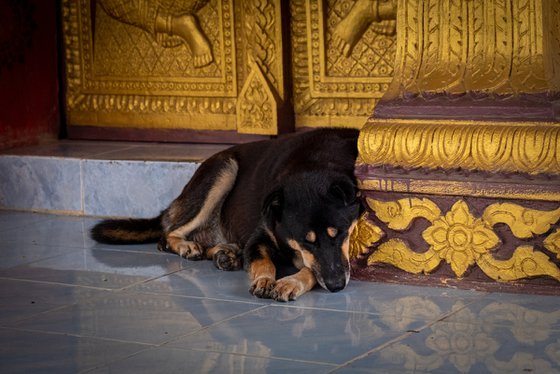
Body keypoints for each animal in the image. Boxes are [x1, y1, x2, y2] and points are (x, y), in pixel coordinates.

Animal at [89, 128, 360, 300]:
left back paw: (226, 254)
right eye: (306, 242)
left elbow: (312, 268)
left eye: (340, 234)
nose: (337, 286)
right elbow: (264, 261)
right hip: (223, 169)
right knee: (167, 236)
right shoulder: (260, 237)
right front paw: (264, 280)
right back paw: (190, 247)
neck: (313, 163)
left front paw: (291, 282)